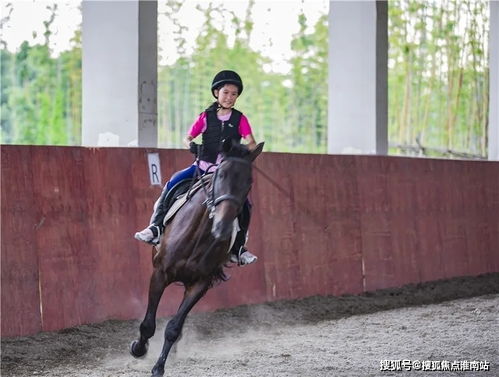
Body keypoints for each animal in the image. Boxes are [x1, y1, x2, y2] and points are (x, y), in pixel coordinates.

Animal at [131, 139, 268, 376]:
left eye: (249, 182)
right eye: (221, 175)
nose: (223, 227)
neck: (197, 235)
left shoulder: (200, 283)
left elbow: (174, 327)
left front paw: (159, 366)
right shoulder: (160, 274)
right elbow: (148, 324)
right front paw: (139, 349)